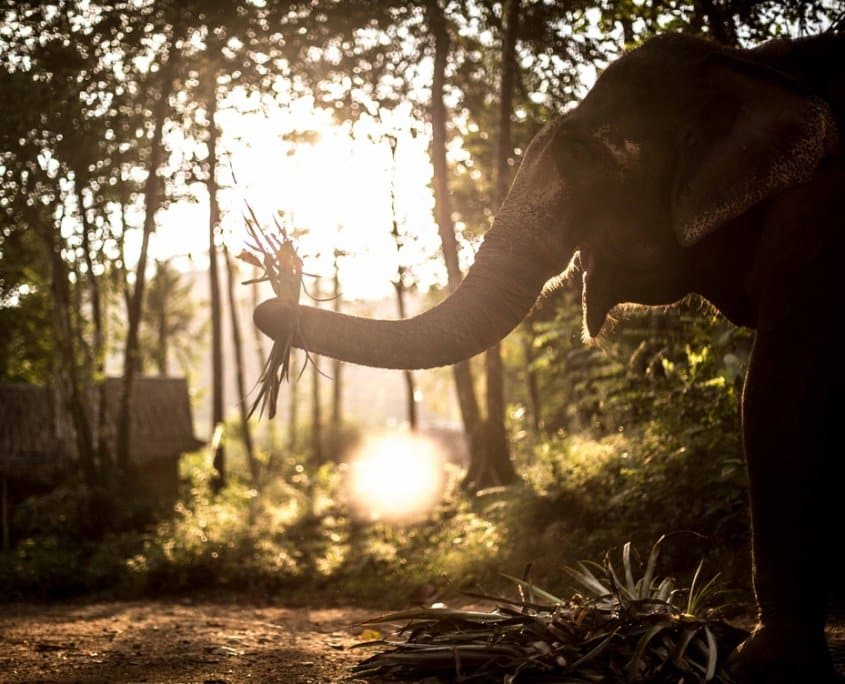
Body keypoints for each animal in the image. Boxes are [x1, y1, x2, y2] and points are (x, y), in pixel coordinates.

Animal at [254, 32, 845, 683]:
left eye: (581, 153)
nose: (275, 294)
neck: (755, 63)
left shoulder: (819, 225)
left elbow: (775, 392)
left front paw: (753, 664)